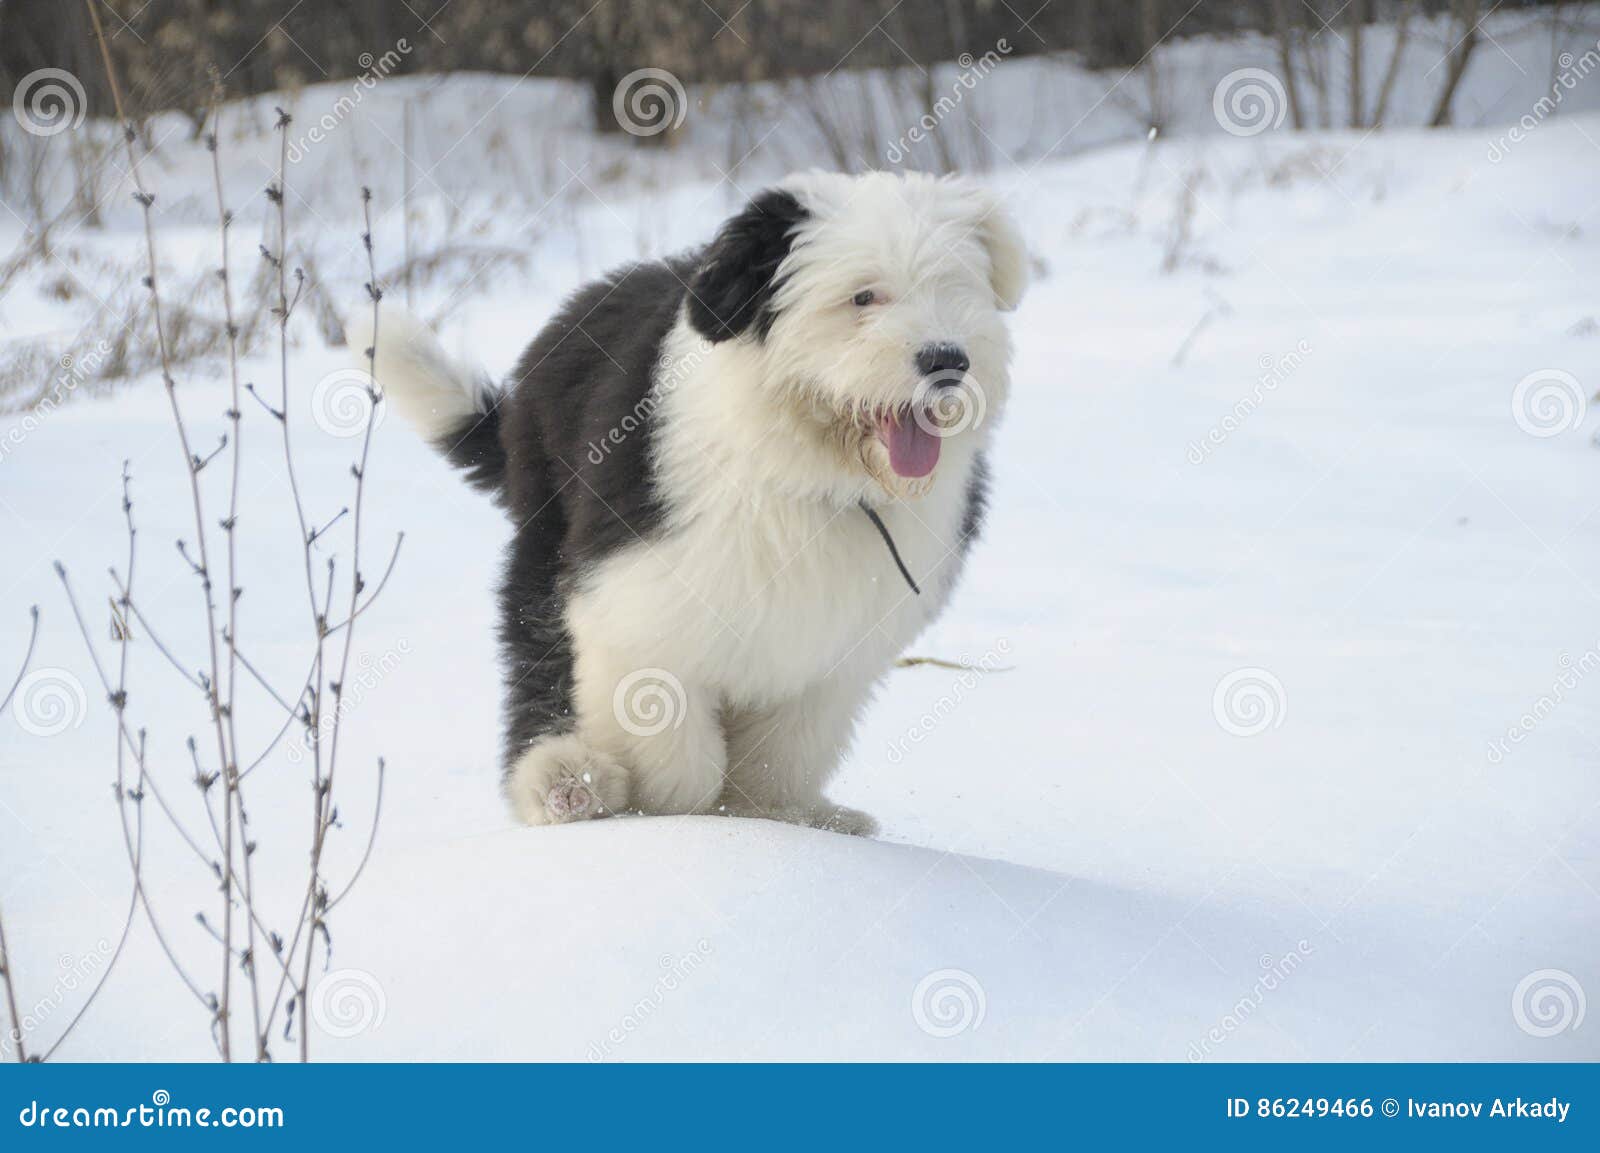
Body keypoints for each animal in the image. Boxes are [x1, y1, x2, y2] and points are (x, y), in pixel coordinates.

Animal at [356, 171, 1030, 831]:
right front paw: (681, 813)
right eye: (863, 297)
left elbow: (786, 748)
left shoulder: (832, 643)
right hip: (546, 532)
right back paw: (564, 780)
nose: (947, 360)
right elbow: (672, 741)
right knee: (539, 656)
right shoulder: (635, 599)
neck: (807, 473)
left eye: (954, 287)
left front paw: (776, 815)